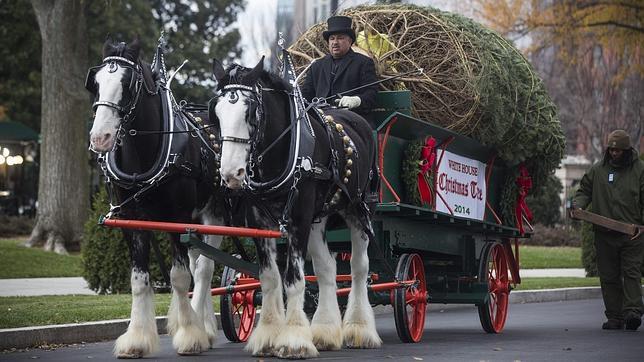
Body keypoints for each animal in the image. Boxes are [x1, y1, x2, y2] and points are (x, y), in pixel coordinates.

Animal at [86, 39, 221, 356]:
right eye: (95, 83)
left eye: (127, 83)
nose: (100, 138)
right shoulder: (133, 221)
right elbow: (139, 280)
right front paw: (136, 338)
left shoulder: (177, 218)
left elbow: (180, 277)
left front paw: (189, 334)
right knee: (199, 263)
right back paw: (207, 327)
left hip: (216, 214)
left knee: (205, 268)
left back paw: (201, 326)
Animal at [211, 58, 382, 358]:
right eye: (217, 112)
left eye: (250, 112)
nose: (231, 173)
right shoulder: (261, 224)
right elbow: (270, 278)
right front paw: (268, 336)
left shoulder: (299, 220)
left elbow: (294, 280)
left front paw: (293, 340)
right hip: (319, 218)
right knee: (327, 267)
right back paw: (325, 331)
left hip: (359, 209)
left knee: (360, 269)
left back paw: (359, 329)